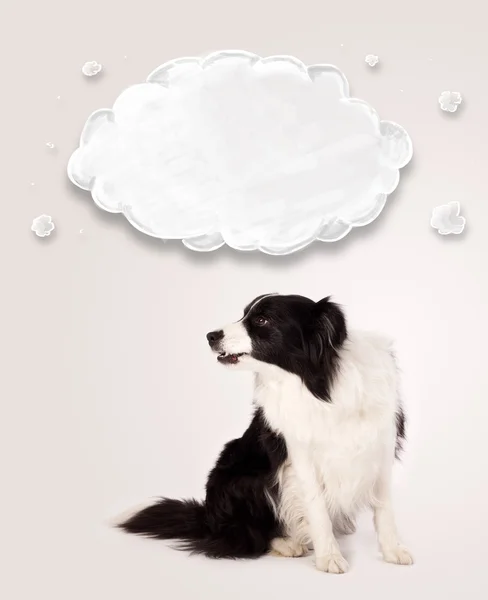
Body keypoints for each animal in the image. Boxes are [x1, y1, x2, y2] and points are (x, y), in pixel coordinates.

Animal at [119, 294, 412, 572]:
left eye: (262, 320)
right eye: (245, 314)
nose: (210, 336)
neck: (320, 383)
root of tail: (208, 517)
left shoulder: (380, 443)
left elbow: (384, 506)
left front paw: (393, 550)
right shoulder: (300, 455)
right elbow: (317, 507)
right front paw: (329, 556)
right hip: (242, 476)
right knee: (247, 536)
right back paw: (287, 543)